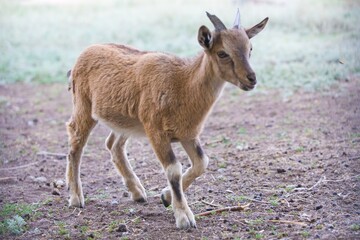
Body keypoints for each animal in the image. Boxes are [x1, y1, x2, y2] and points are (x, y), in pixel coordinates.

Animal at [65, 11, 268, 229]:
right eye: (222, 53)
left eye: (250, 48)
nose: (251, 79)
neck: (182, 84)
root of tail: (80, 58)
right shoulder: (156, 131)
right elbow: (173, 169)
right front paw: (184, 217)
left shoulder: (188, 134)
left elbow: (201, 163)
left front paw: (165, 197)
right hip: (83, 106)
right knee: (76, 141)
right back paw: (76, 197)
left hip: (127, 121)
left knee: (113, 144)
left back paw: (138, 192)